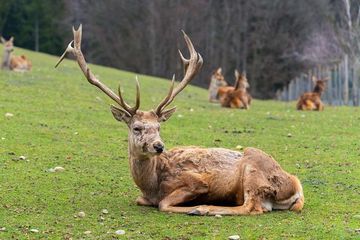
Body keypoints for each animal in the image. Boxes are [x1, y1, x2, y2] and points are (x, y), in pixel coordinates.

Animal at [56, 25, 304, 217]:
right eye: (137, 127)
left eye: (159, 126)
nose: (158, 145)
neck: (152, 184)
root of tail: (296, 187)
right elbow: (140, 199)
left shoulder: (197, 181)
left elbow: (164, 203)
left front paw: (193, 205)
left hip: (254, 169)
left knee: (252, 207)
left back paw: (202, 209)